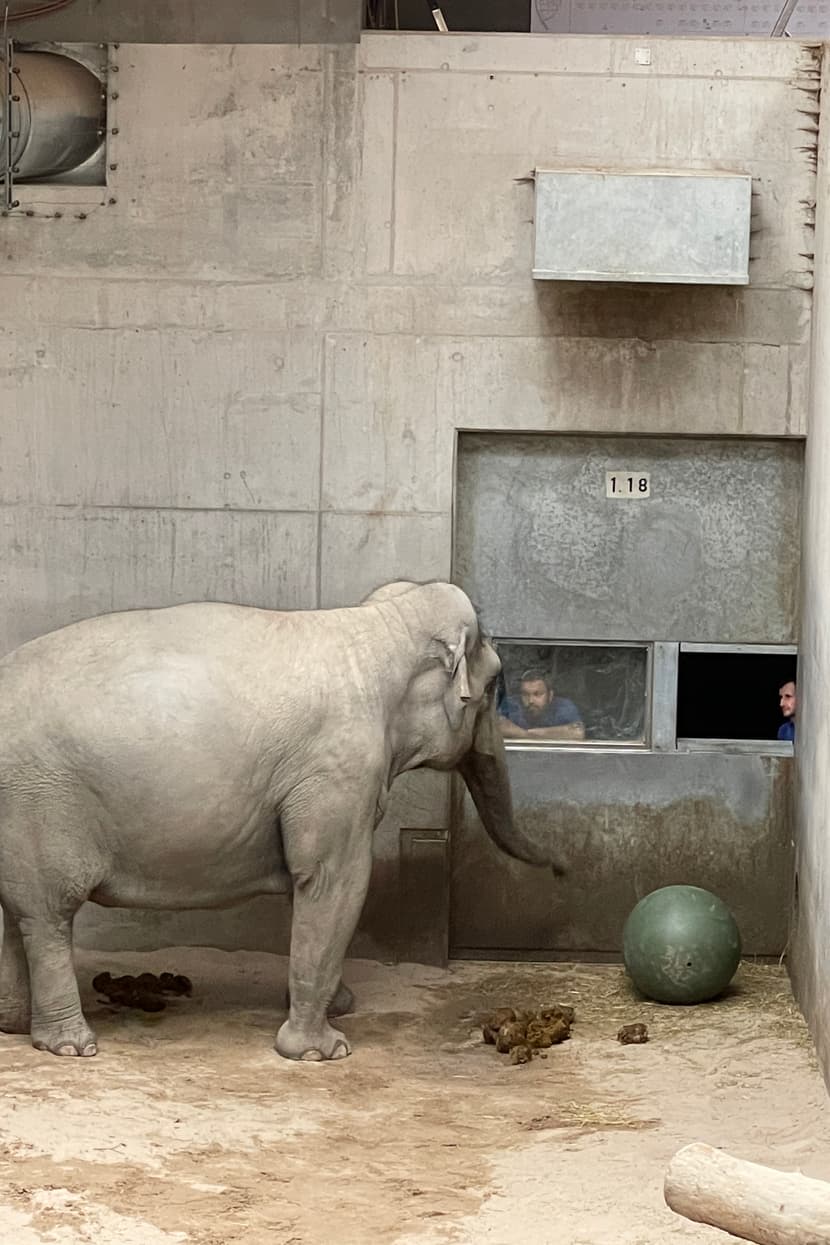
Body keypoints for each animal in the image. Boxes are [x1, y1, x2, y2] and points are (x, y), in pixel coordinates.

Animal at [0, 580, 549, 1062]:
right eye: (494, 685)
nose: (558, 868)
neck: (375, 625)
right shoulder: (338, 771)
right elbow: (334, 880)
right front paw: (322, 1051)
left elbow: (307, 884)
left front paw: (340, 1009)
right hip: (40, 802)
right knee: (47, 916)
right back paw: (70, 1046)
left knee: (15, 912)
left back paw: (14, 1025)